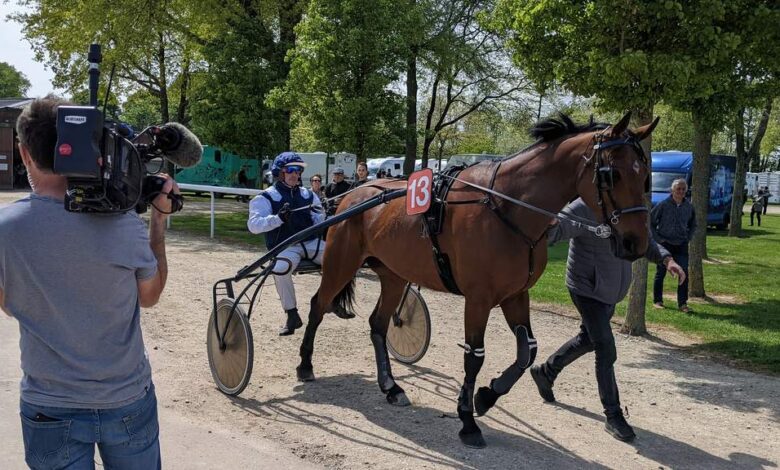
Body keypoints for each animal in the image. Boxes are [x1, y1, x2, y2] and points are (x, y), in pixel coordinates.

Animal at [298, 113, 660, 448]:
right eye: (611, 174)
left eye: (645, 175)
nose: (637, 243)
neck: (505, 207)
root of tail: (354, 194)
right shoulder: (478, 299)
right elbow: (475, 356)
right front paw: (468, 421)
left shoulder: (516, 295)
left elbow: (527, 351)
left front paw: (486, 396)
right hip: (341, 263)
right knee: (318, 306)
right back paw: (305, 364)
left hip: (394, 275)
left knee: (378, 324)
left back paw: (391, 387)